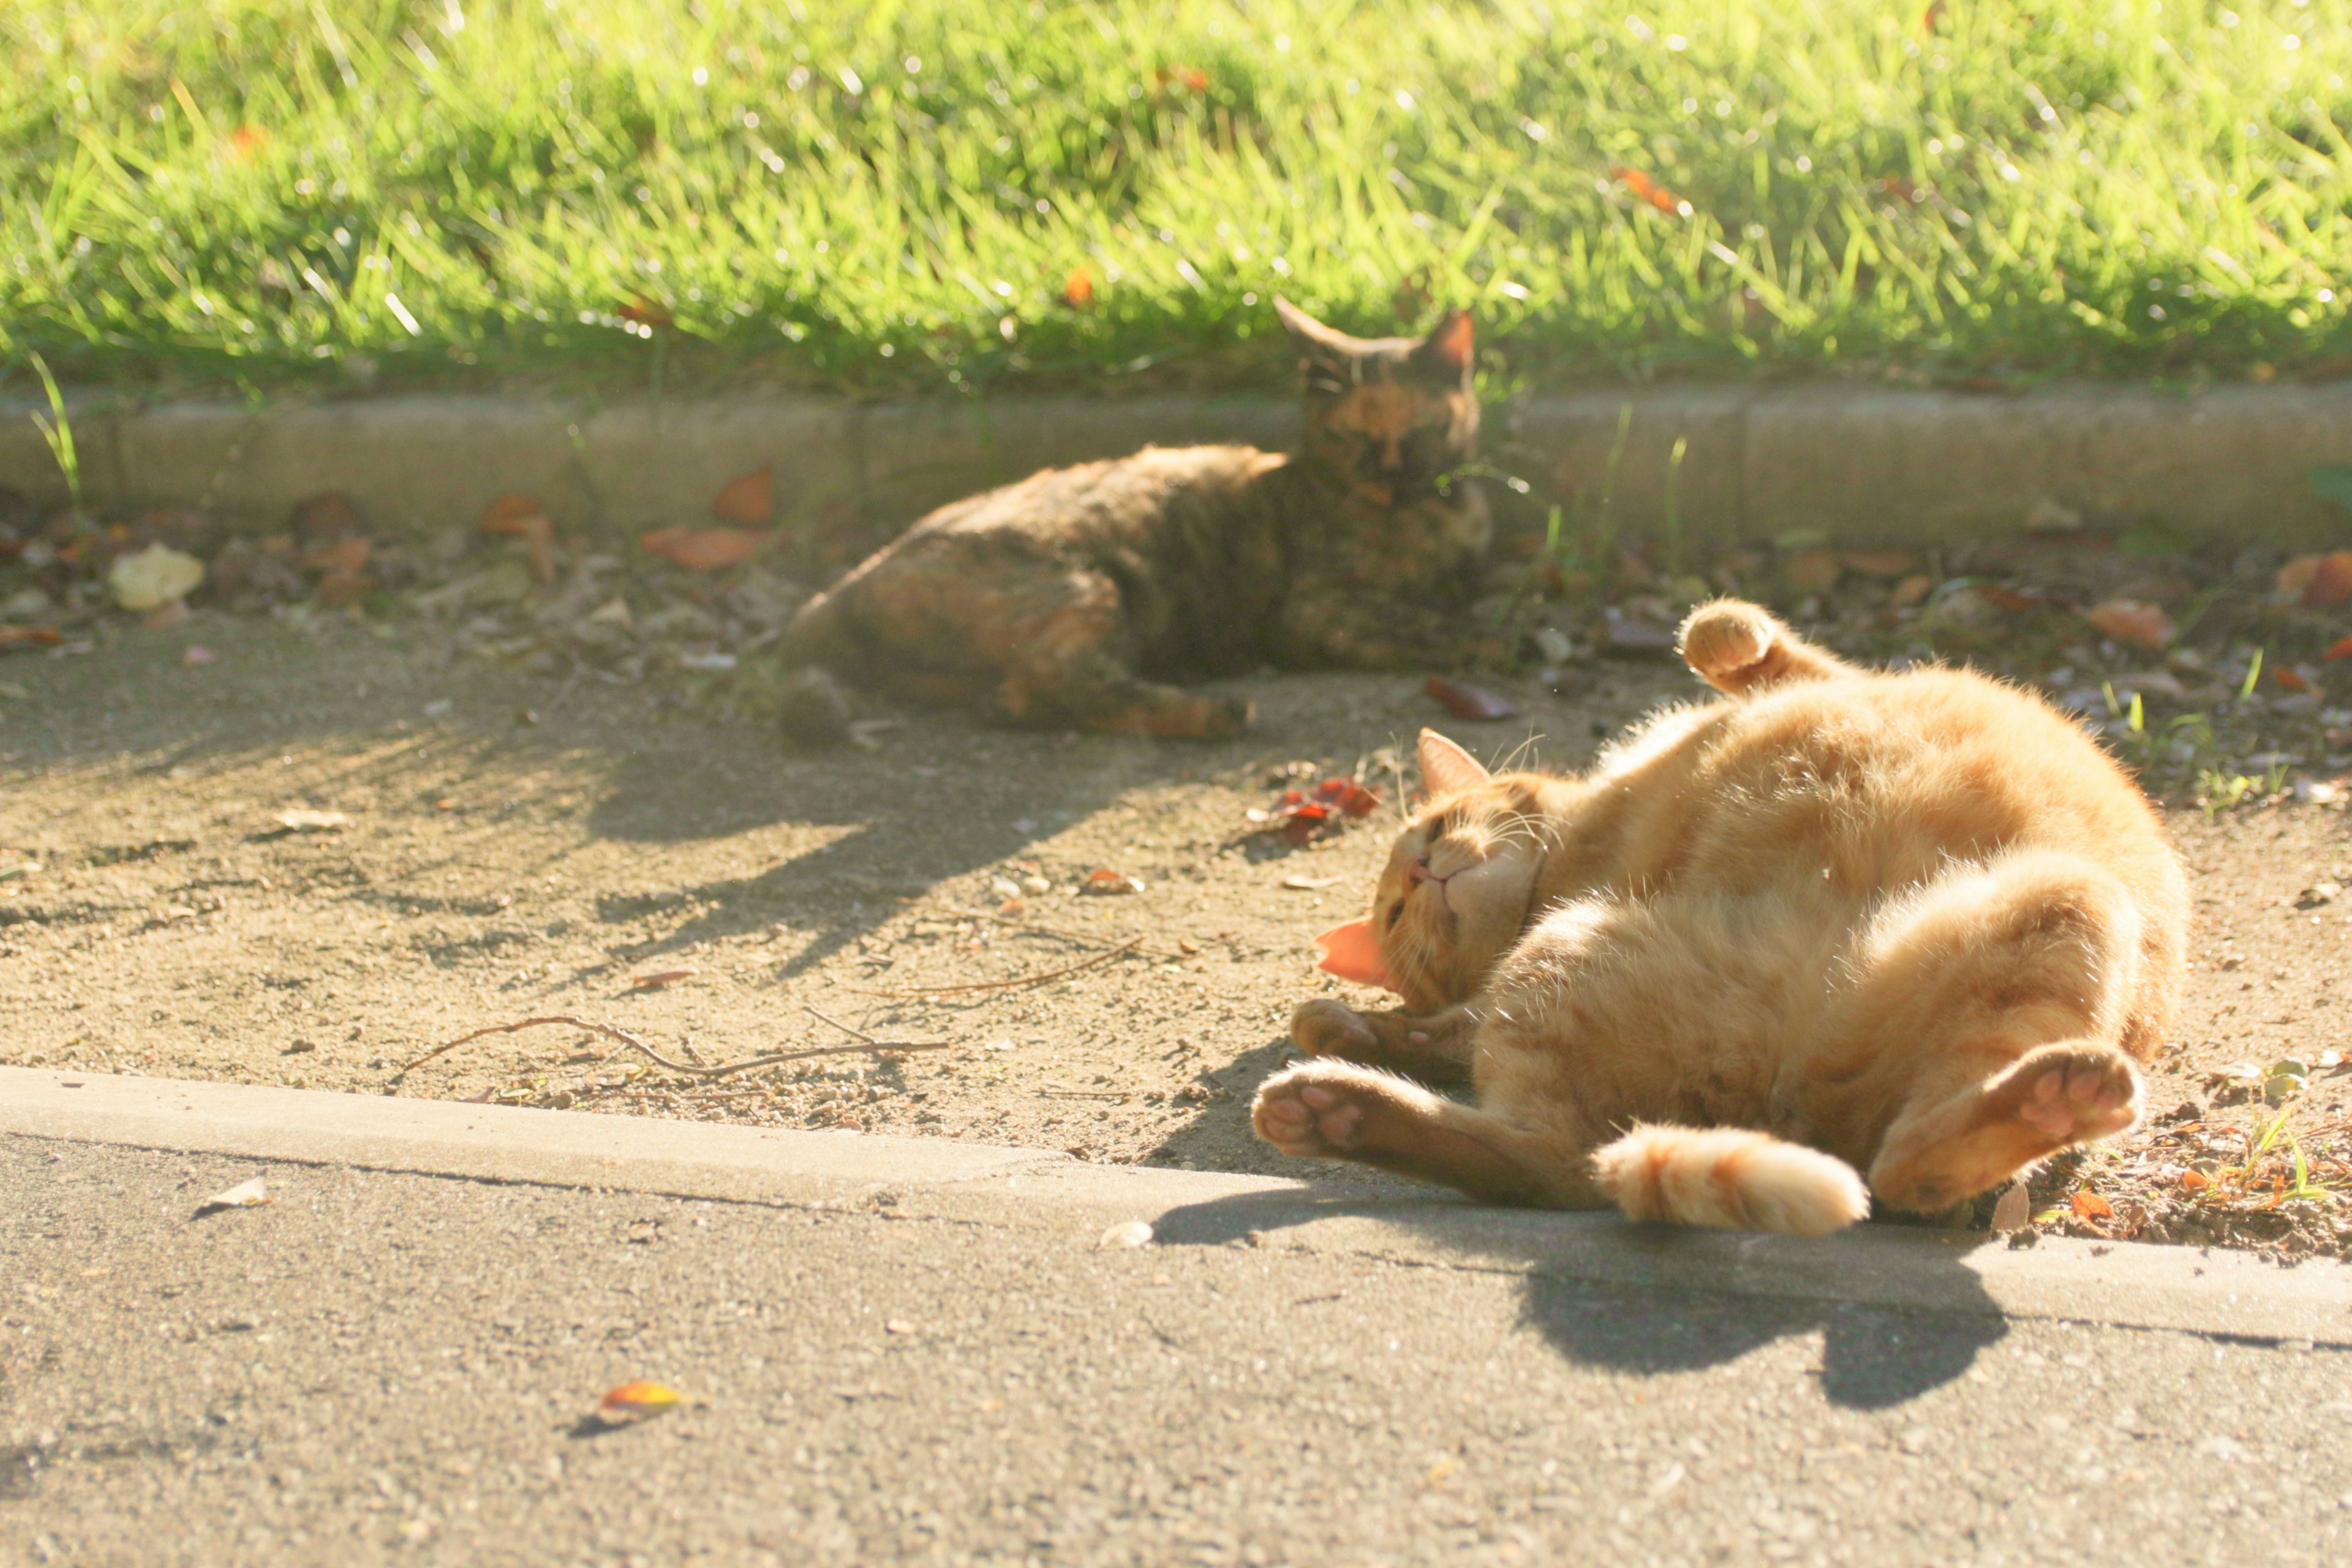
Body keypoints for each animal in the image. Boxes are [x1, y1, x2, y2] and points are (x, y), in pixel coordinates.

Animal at [780, 301, 1496, 742]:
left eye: (1422, 428)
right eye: (1350, 434)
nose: (1388, 472)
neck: (1431, 512)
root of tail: (842, 587)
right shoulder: (1315, 609)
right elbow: (1423, 621)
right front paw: (1495, 636)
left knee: (1028, 691)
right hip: (1090, 584)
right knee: (1070, 680)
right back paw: (1214, 713)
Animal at [1251, 601, 2182, 1241]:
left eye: (1436, 830)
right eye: (1398, 913)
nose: (1420, 871)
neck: (1578, 855)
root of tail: (1782, 1110)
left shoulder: (1821, 680)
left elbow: (1729, 640)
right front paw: (1346, 1028)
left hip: (2065, 907)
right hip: (1567, 965)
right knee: (1558, 1167)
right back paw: (1338, 1111)